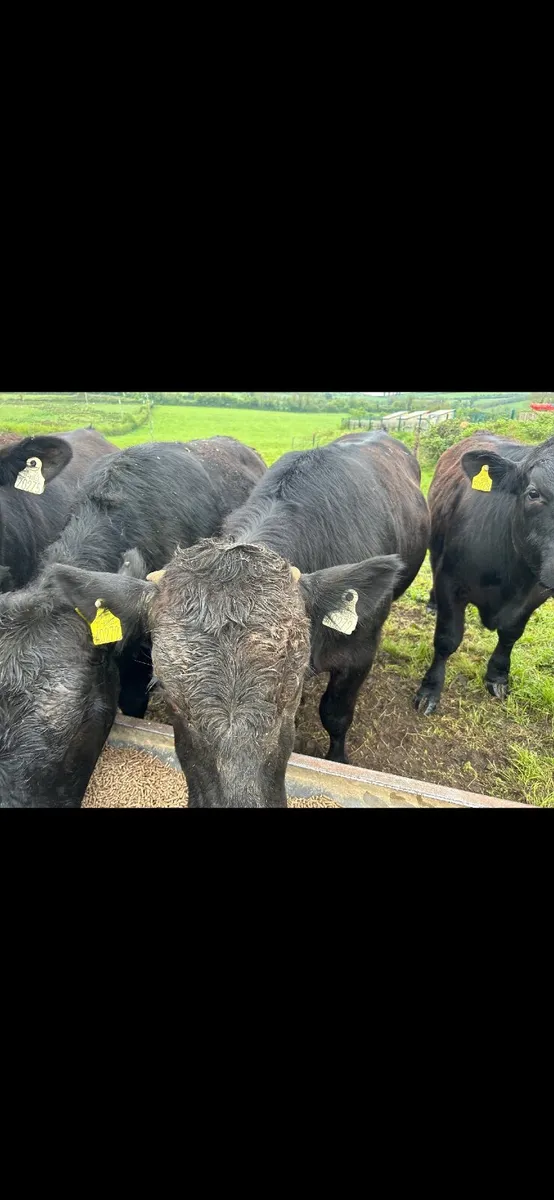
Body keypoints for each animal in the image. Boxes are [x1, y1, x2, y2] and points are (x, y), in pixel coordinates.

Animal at [415, 432, 554, 716]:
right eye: (534, 493)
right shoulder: (450, 582)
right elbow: (447, 639)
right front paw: (430, 689)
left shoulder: (537, 594)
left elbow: (511, 633)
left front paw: (498, 676)